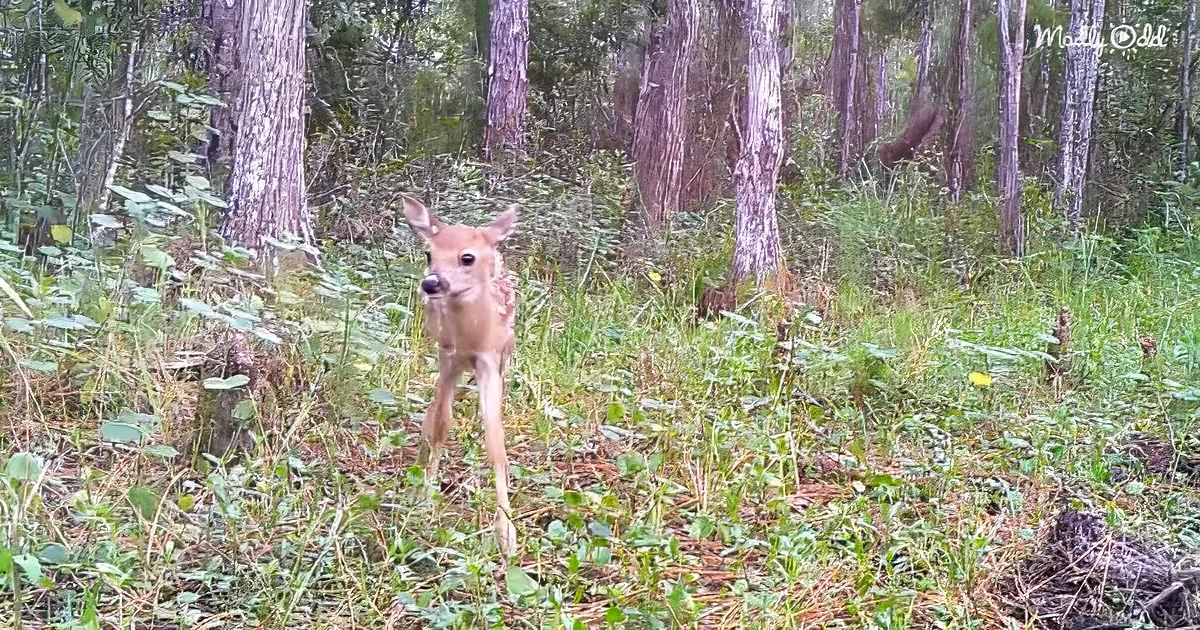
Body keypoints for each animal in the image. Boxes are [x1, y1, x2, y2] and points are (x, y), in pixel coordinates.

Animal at [402, 195, 520, 555]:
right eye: (428, 253)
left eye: (467, 257)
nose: (431, 283)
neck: (472, 339)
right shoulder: (448, 356)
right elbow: (443, 424)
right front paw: (425, 498)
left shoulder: (491, 360)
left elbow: (496, 442)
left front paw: (506, 535)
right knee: (433, 413)